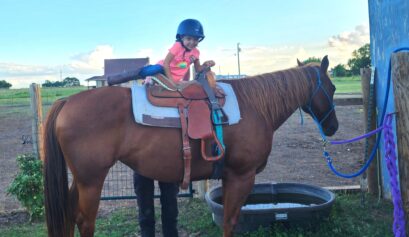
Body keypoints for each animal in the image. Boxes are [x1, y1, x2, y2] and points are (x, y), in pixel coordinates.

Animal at [43, 56, 338, 237]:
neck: (255, 106)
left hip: (81, 180)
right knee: (84, 221)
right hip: (92, 180)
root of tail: (67, 101)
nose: (333, 127)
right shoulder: (242, 176)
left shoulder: (230, 177)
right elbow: (230, 221)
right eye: (333, 88)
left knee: (70, 214)